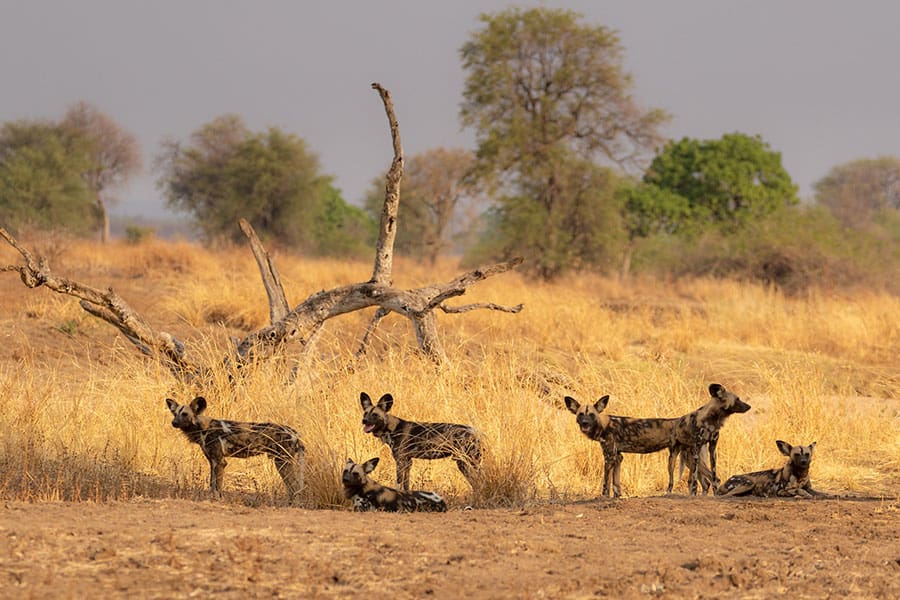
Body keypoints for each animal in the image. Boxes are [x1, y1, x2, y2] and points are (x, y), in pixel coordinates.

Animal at [162, 396, 302, 500]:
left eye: (185, 414)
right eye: (174, 413)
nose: (173, 423)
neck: (203, 428)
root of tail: (293, 432)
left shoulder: (220, 462)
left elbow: (217, 486)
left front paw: (216, 500)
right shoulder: (213, 461)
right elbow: (212, 484)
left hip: (282, 463)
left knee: (294, 487)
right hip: (282, 463)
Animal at [564, 394, 712, 496]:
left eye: (592, 415)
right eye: (580, 414)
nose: (585, 423)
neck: (603, 425)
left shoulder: (609, 457)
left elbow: (606, 483)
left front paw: (603, 497)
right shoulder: (618, 457)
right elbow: (616, 483)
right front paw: (616, 497)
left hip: (690, 458)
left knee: (710, 478)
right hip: (689, 459)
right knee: (707, 482)